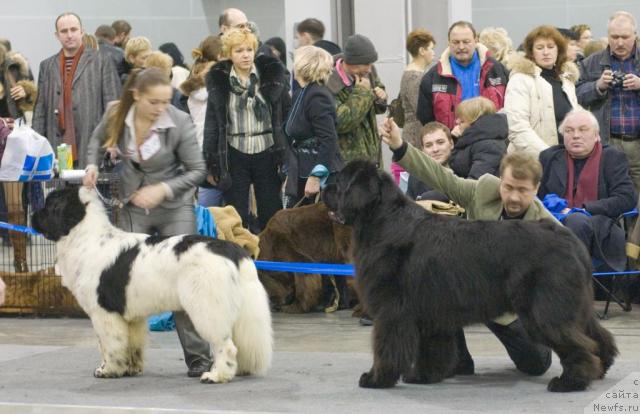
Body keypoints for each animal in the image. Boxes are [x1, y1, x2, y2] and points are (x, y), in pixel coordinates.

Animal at [32, 186, 272, 384]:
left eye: (49, 205)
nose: (33, 215)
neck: (84, 235)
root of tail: (232, 250)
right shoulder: (132, 317)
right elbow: (131, 344)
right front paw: (130, 369)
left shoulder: (104, 313)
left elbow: (109, 345)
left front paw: (107, 370)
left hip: (208, 308)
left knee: (226, 346)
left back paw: (216, 375)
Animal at [322, 160, 616, 392]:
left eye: (340, 181)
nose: (323, 189)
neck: (381, 220)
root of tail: (571, 240)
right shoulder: (429, 312)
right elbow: (431, 349)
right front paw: (423, 376)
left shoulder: (391, 310)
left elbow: (386, 347)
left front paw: (376, 378)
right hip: (573, 306)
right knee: (595, 335)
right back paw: (601, 368)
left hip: (544, 311)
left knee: (577, 344)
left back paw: (571, 382)